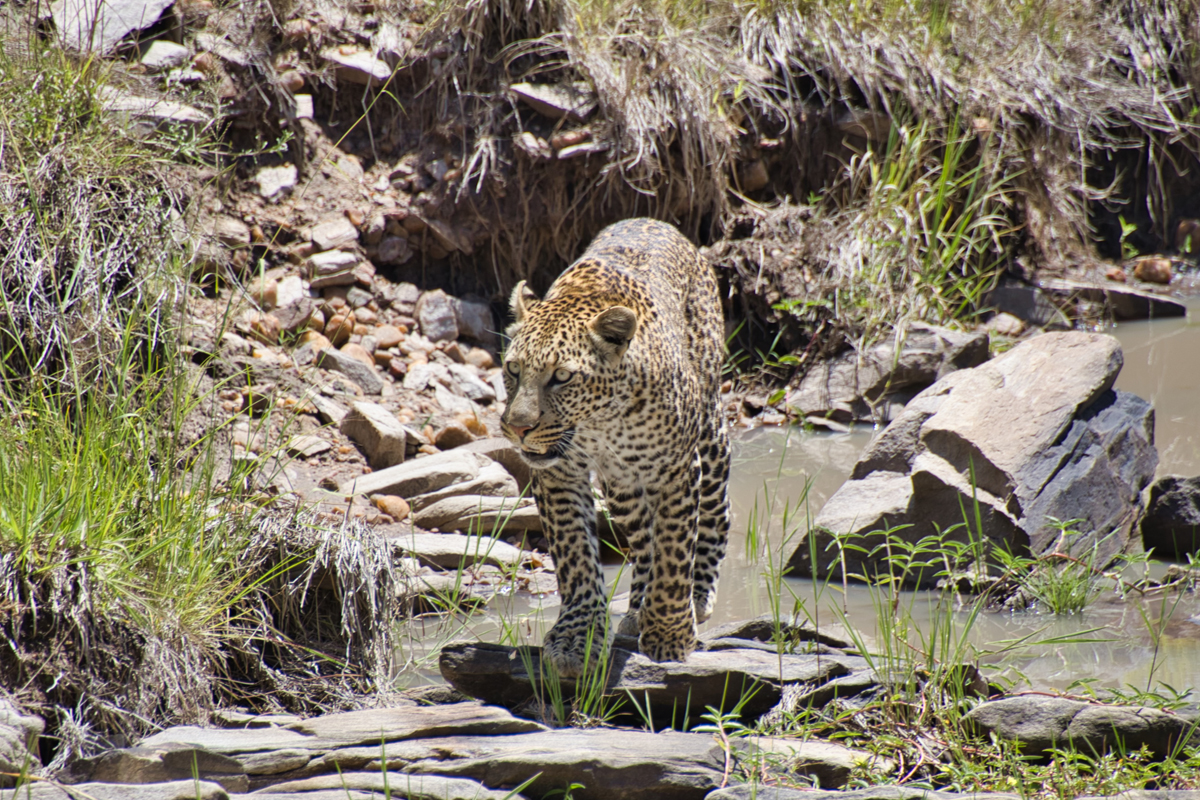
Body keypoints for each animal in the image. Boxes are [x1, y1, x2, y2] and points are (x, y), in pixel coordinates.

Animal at [499, 217, 731, 676]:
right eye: (513, 369)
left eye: (562, 377)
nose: (518, 428)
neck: (601, 423)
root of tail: (654, 221)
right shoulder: (560, 475)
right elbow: (575, 555)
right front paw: (577, 638)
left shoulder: (678, 470)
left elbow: (674, 550)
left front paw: (670, 634)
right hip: (622, 488)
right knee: (642, 542)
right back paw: (637, 607)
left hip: (710, 435)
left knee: (716, 515)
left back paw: (698, 595)